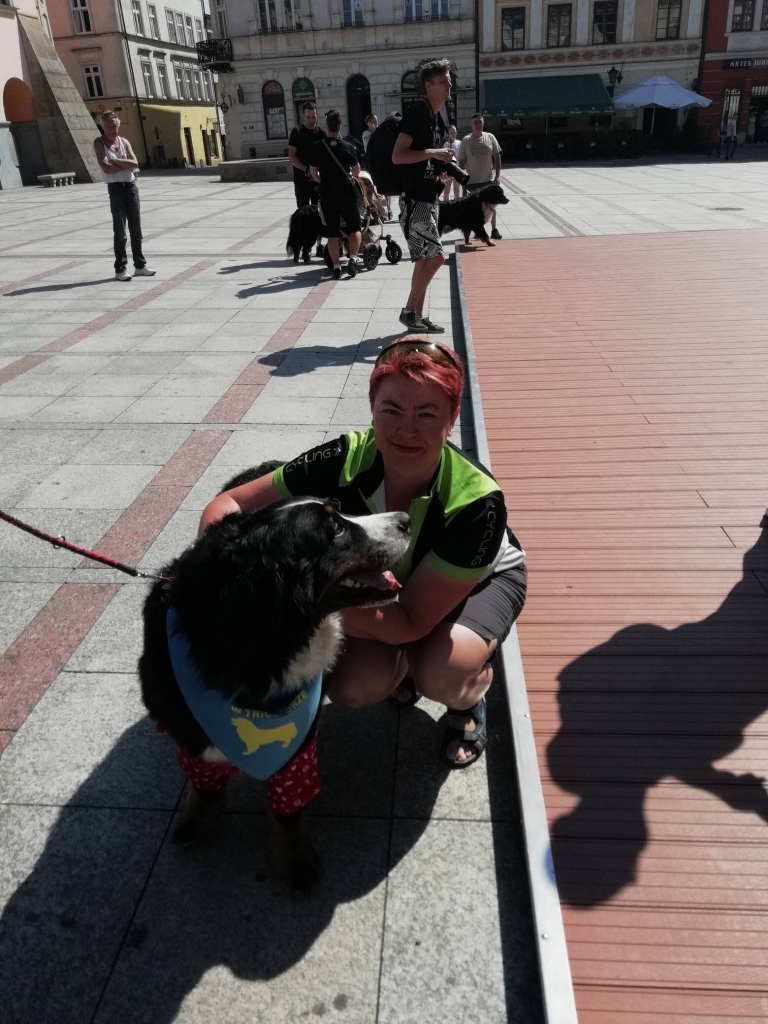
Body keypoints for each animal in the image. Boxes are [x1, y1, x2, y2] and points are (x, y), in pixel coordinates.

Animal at [139, 462, 410, 888]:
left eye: (341, 510)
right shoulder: (189, 728)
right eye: (335, 529)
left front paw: (296, 866)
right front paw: (197, 824)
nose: (405, 519)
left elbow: (288, 816)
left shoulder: (296, 744)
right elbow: (204, 786)